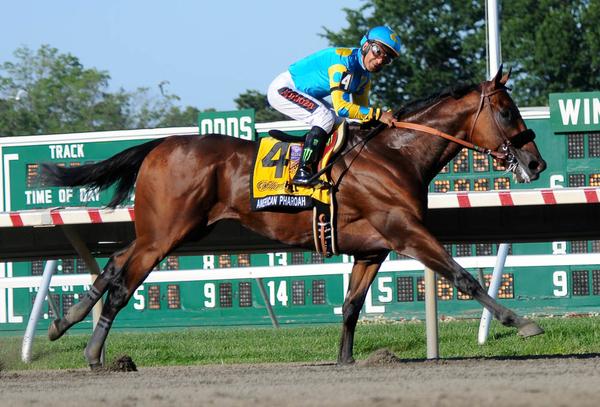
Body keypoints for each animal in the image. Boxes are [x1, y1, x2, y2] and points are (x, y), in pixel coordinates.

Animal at [42, 68, 548, 368]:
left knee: (113, 264)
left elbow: (351, 306)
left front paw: (345, 361)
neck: (394, 155)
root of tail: (161, 144)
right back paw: (94, 353)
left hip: (172, 229)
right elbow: (463, 276)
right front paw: (521, 322)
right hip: (166, 233)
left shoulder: (372, 250)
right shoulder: (405, 231)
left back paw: (64, 322)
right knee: (123, 283)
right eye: (507, 111)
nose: (536, 163)